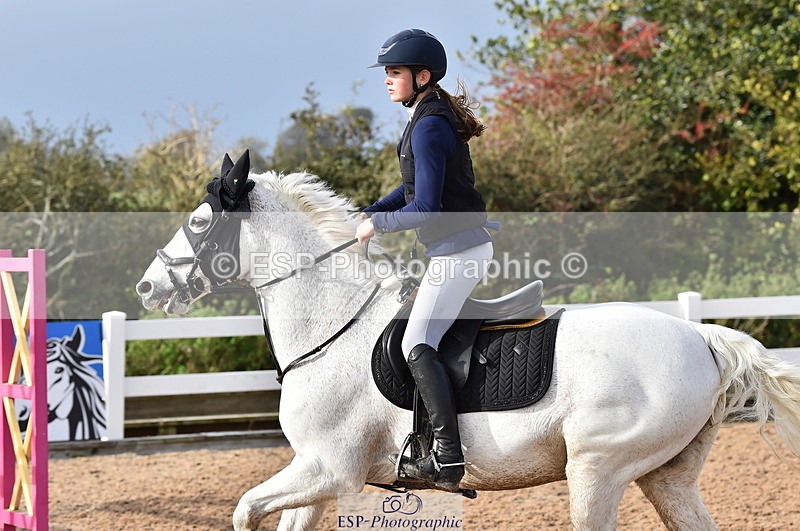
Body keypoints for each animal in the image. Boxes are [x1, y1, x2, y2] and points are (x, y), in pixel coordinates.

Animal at [136, 151, 800, 531]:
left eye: (199, 222)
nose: (146, 287)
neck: (331, 326)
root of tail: (700, 337)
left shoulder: (330, 468)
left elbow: (245, 508)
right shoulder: (314, 474)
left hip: (598, 471)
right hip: (665, 477)